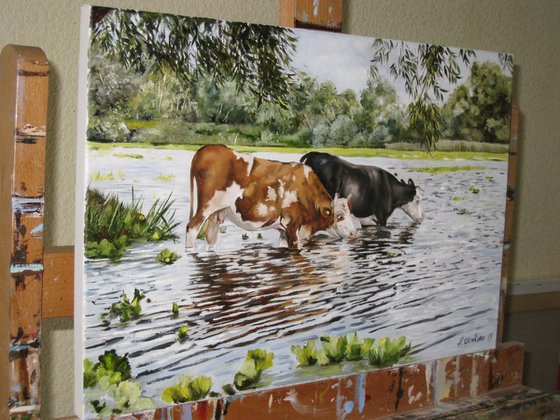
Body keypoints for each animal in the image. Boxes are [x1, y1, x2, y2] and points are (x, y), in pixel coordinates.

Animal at [186, 144, 356, 249]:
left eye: (350, 213)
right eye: (339, 215)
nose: (354, 233)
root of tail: (205, 149)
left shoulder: (283, 230)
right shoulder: (292, 226)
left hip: (217, 213)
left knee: (210, 235)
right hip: (206, 206)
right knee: (191, 229)